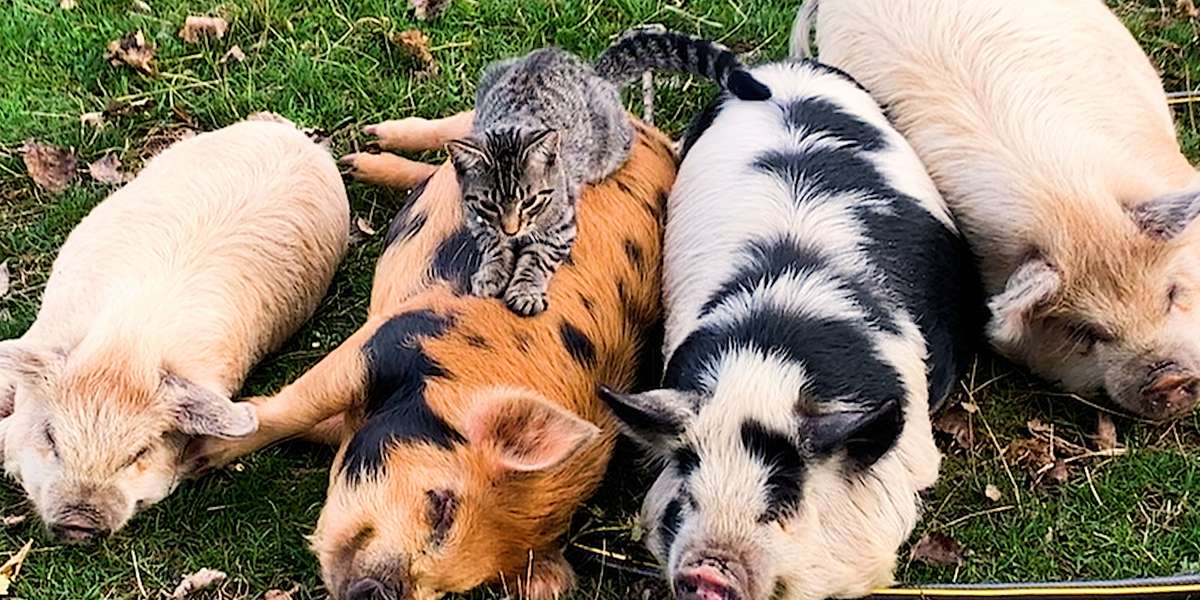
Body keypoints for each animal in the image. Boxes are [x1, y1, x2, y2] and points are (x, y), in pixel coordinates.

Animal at [451, 30, 768, 316]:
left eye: (530, 202)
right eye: (490, 204)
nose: (512, 229)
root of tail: (593, 72)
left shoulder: (562, 226)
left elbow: (537, 259)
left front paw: (525, 290)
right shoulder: (476, 218)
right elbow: (493, 245)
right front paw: (492, 272)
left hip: (610, 148)